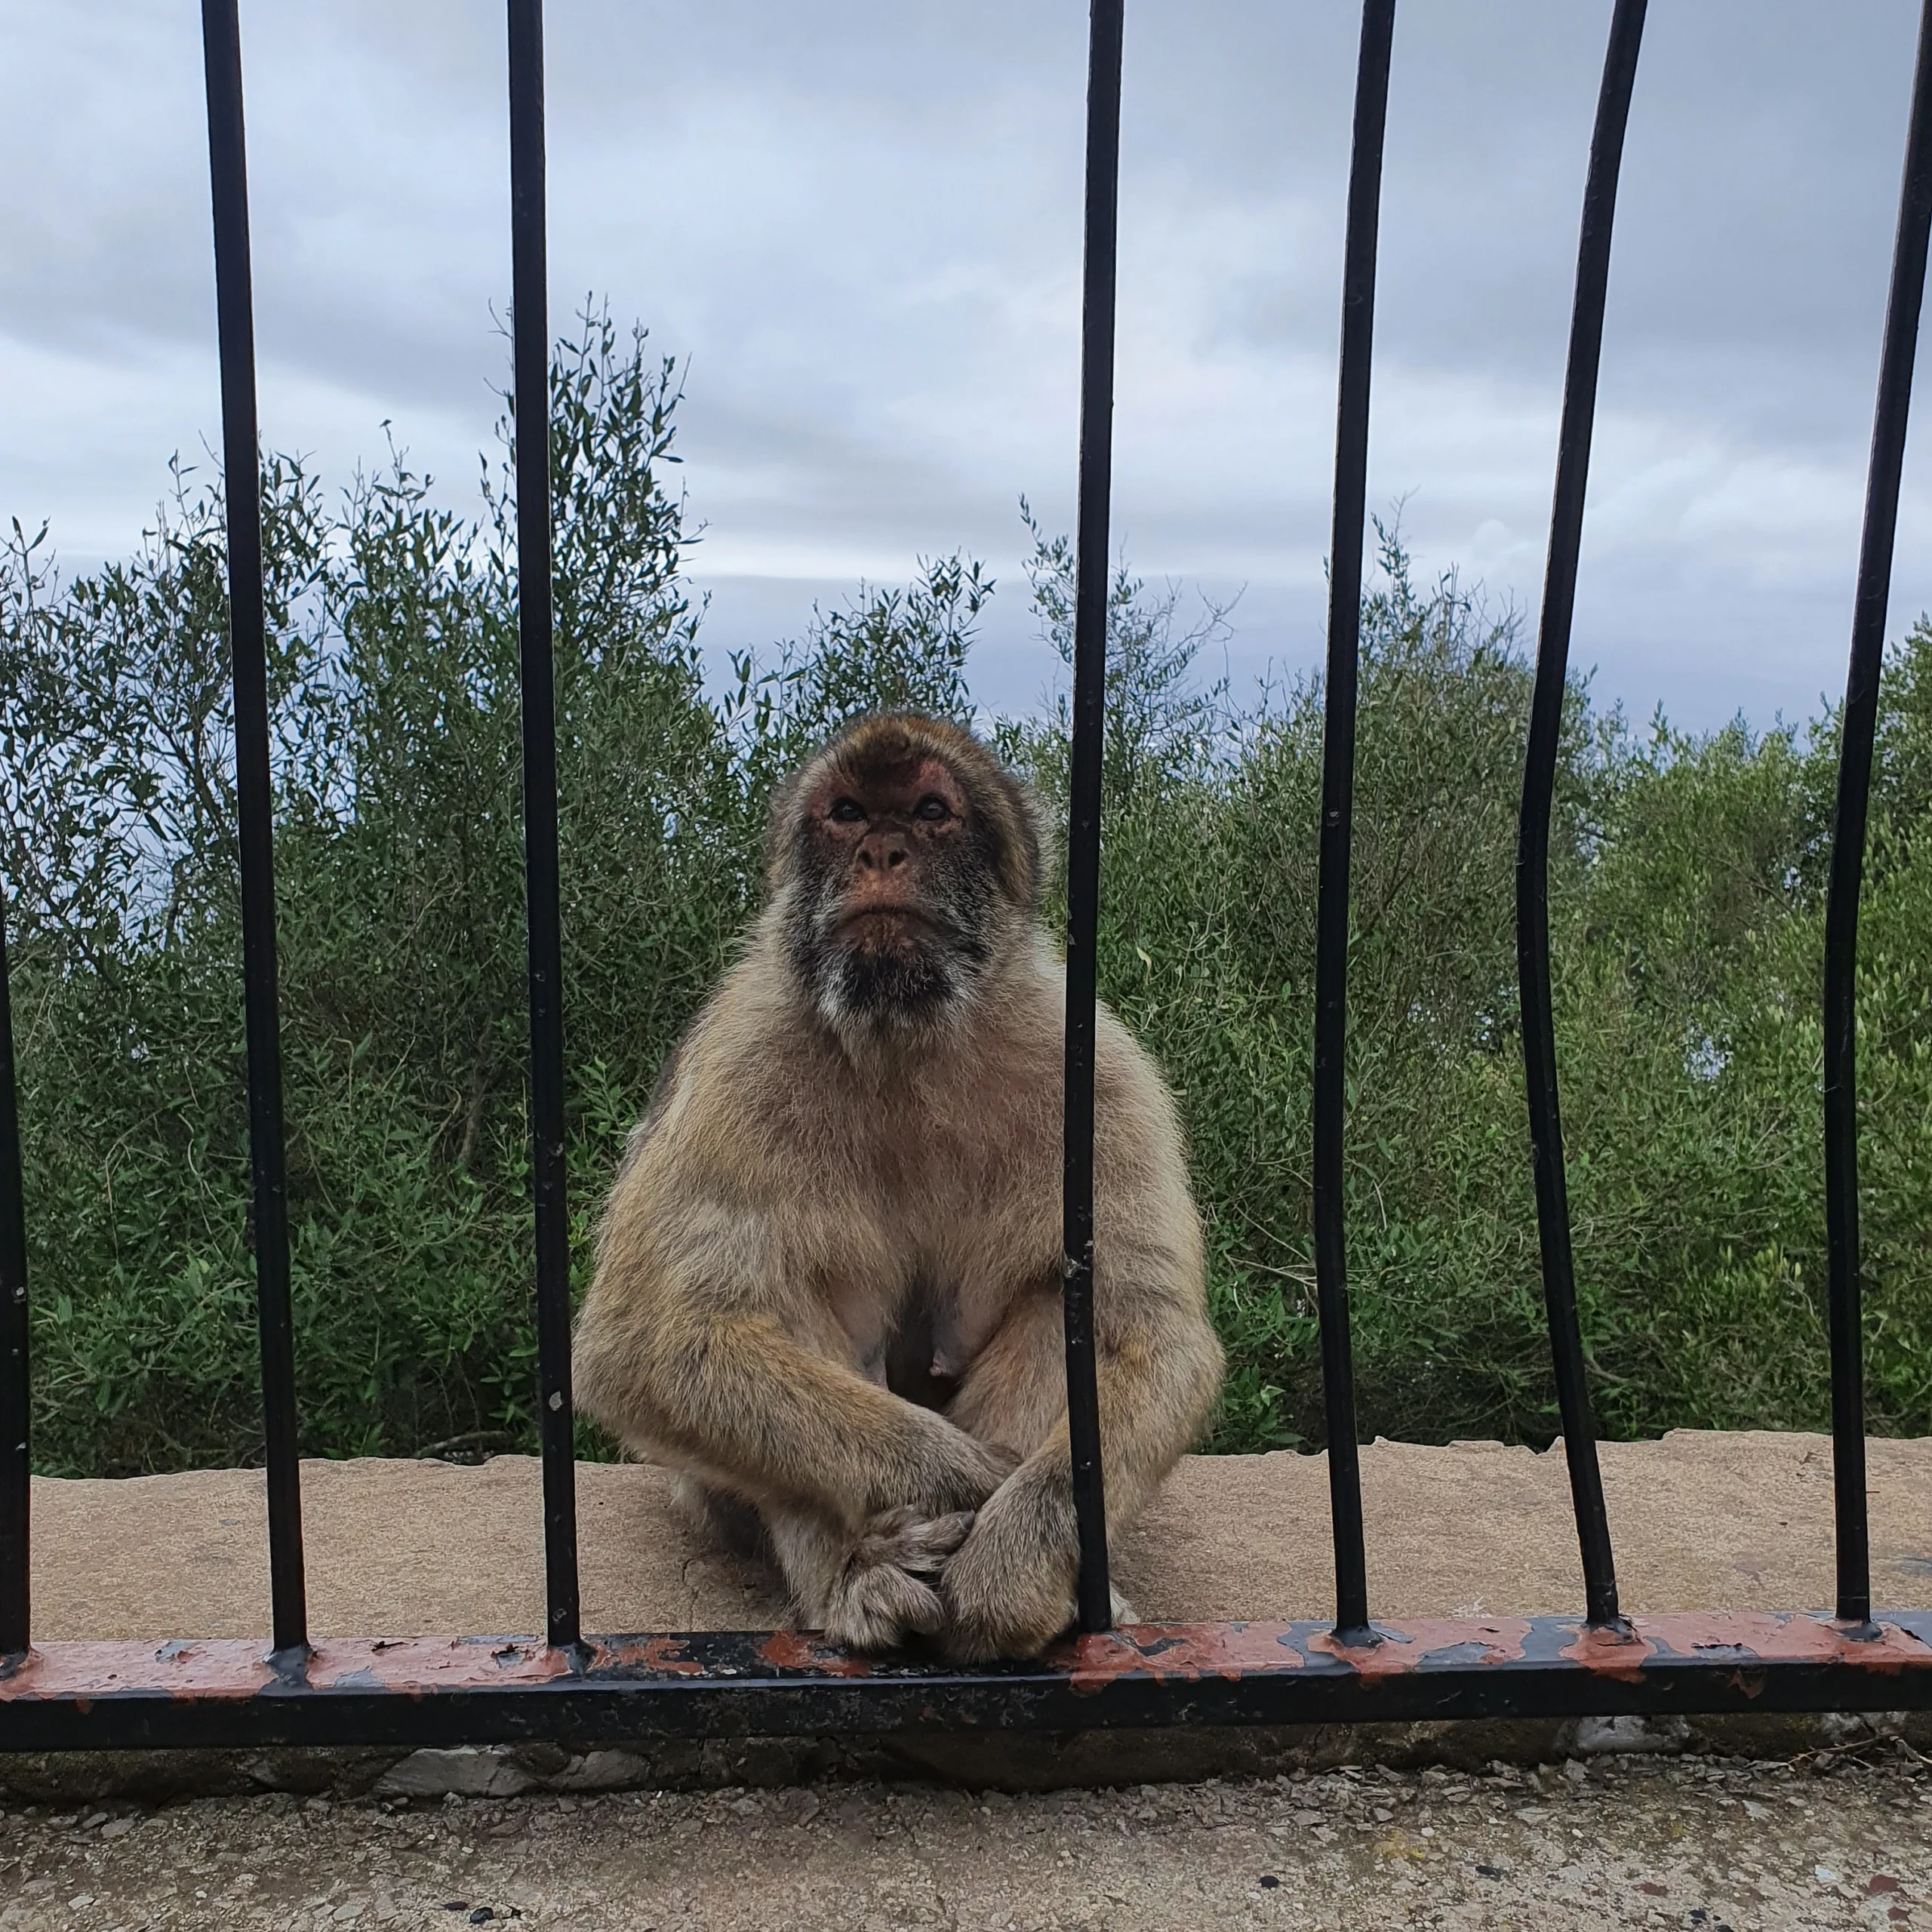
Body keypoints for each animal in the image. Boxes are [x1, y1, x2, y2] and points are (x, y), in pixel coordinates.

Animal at [572, 712, 1223, 1660]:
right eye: (846, 812)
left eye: (928, 810)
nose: (881, 850)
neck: (904, 1034)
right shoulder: (739, 1061)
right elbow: (646, 1347)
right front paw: (963, 1476)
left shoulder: (1098, 1073)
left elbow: (1144, 1336)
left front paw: (1012, 1556)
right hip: (704, 1491)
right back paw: (857, 1577)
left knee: (1060, 1297)